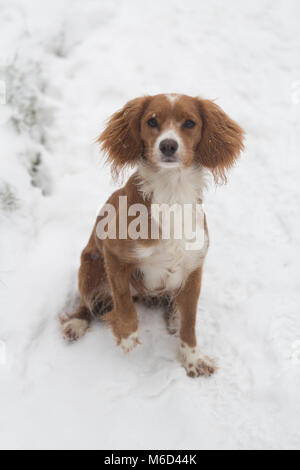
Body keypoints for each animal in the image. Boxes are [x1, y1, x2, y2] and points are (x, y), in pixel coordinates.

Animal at [61, 93, 244, 376]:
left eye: (189, 123)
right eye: (152, 121)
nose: (168, 145)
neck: (171, 192)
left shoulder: (194, 268)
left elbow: (190, 323)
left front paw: (193, 358)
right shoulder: (113, 254)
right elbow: (123, 301)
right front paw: (127, 335)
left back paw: (174, 315)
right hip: (89, 266)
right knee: (87, 301)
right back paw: (77, 324)